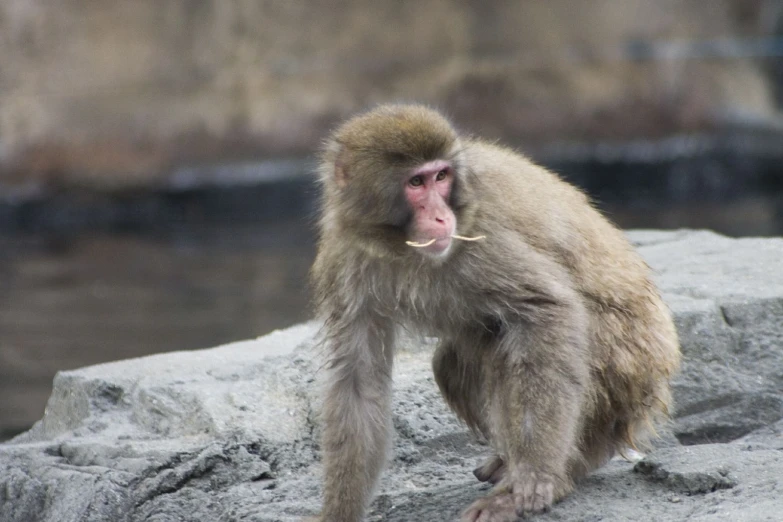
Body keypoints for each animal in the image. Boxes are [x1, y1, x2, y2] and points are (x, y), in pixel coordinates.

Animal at [306, 103, 680, 516]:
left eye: (441, 177)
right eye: (416, 182)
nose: (441, 217)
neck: (398, 246)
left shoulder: (479, 237)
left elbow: (548, 307)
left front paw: (535, 477)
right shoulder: (343, 258)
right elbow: (358, 378)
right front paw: (339, 511)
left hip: (626, 367)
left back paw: (560, 473)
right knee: (453, 362)